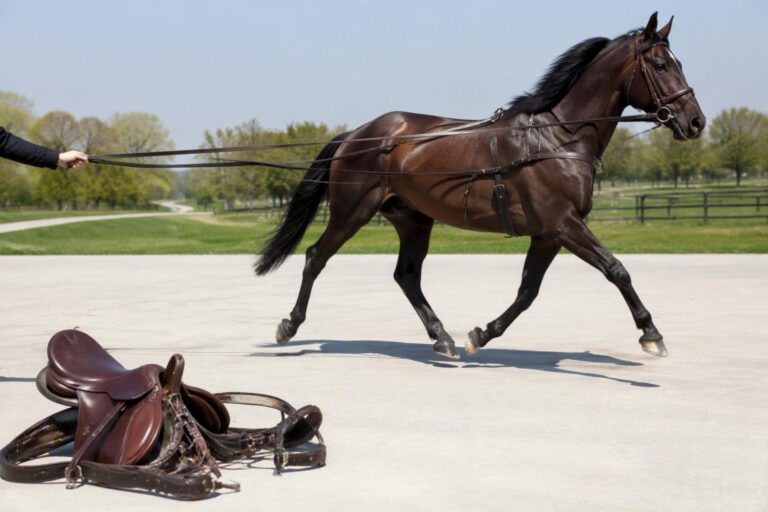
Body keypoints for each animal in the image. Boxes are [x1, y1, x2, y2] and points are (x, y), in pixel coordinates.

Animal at [254, 12, 705, 360]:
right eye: (661, 66)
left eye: (679, 62)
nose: (696, 121)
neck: (557, 139)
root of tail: (358, 134)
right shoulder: (564, 225)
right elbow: (616, 270)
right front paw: (651, 334)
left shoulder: (548, 234)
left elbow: (527, 292)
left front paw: (480, 334)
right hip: (353, 211)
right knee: (316, 257)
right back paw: (288, 326)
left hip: (413, 219)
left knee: (406, 276)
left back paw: (443, 338)